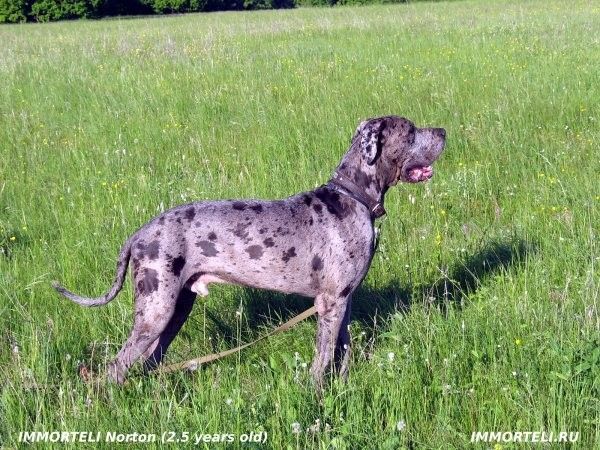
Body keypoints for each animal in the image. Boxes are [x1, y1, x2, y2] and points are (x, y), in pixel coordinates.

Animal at [53, 115, 446, 386]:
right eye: (410, 131)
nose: (443, 132)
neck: (354, 196)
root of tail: (139, 234)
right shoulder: (330, 302)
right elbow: (322, 360)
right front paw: (317, 396)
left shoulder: (344, 301)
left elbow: (343, 351)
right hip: (156, 311)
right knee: (116, 367)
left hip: (176, 309)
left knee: (149, 361)